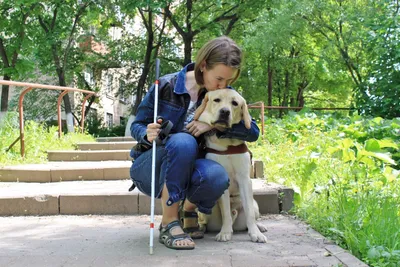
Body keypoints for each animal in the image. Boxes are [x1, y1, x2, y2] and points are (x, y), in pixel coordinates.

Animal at [195, 89, 268, 244]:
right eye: (216, 100)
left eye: (234, 103)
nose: (224, 112)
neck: (226, 141)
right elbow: (226, 212)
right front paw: (225, 232)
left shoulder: (245, 179)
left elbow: (249, 213)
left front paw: (256, 233)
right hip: (202, 210)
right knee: (204, 220)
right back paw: (201, 228)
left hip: (255, 204)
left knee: (251, 215)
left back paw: (259, 226)